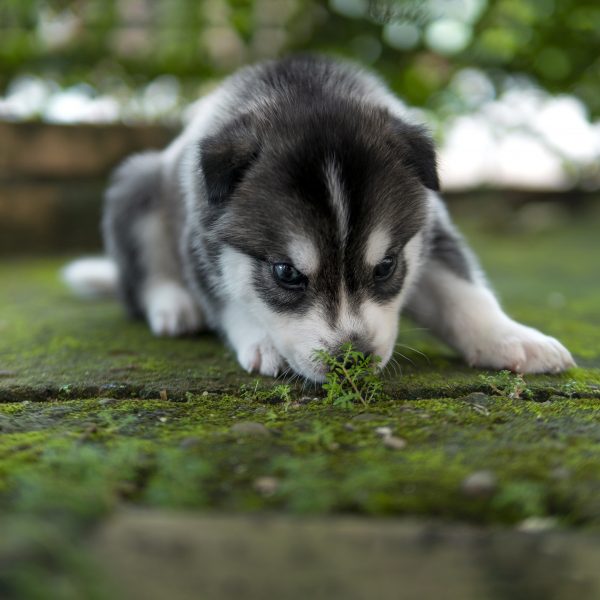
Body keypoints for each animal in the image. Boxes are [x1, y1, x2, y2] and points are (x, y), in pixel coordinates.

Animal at [63, 52, 576, 380]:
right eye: (287, 274)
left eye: (385, 267)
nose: (352, 361)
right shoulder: (201, 239)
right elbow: (229, 299)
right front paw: (262, 340)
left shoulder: (430, 232)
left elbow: (464, 293)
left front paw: (511, 338)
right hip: (137, 184)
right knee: (144, 279)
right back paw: (173, 305)